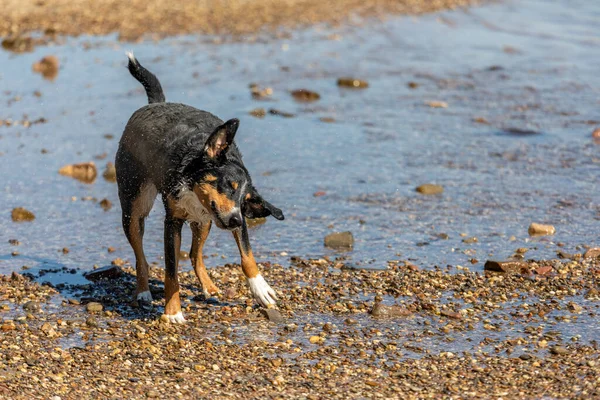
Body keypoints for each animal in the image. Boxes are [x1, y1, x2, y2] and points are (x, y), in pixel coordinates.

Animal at [118, 53, 286, 324]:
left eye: (244, 200)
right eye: (229, 185)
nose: (237, 220)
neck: (191, 180)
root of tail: (156, 103)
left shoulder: (228, 215)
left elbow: (247, 256)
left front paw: (261, 288)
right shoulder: (173, 222)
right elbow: (171, 271)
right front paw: (173, 311)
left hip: (204, 221)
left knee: (194, 254)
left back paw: (208, 286)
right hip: (133, 209)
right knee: (140, 257)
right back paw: (143, 291)